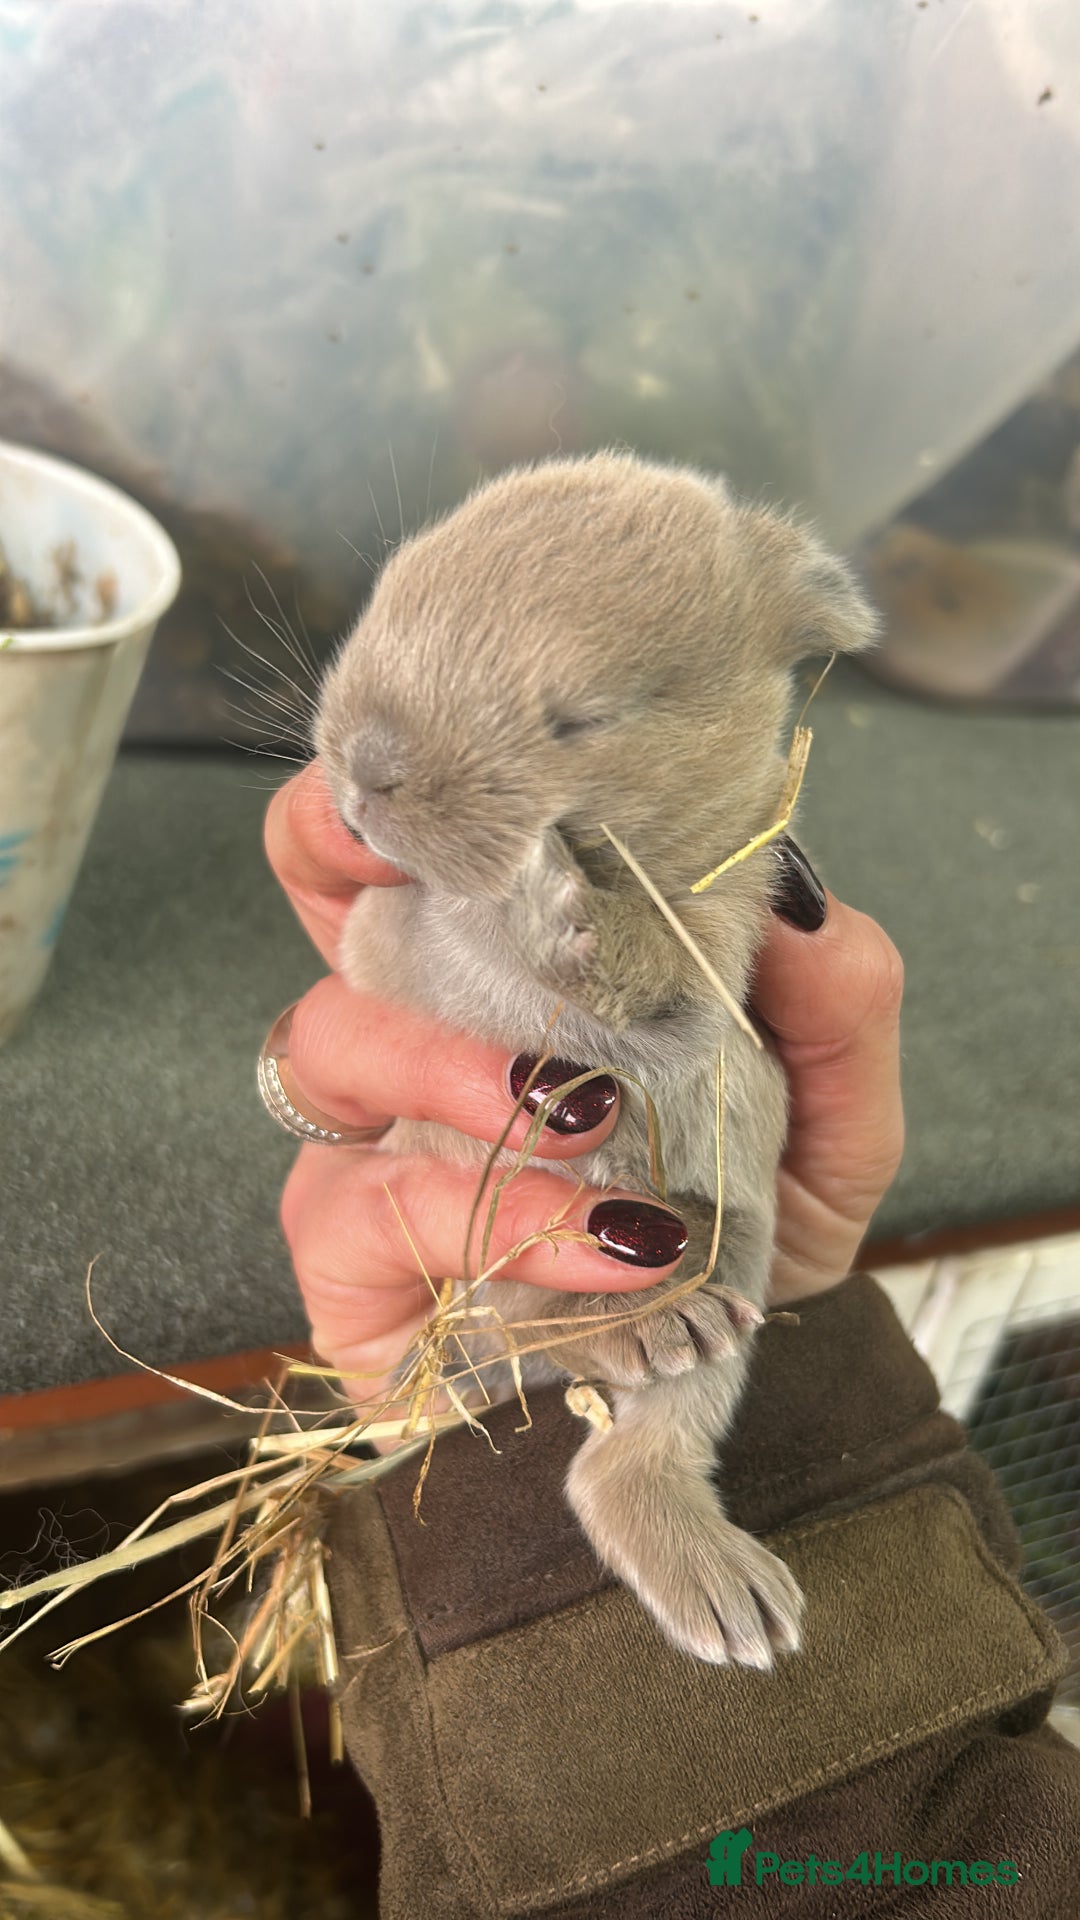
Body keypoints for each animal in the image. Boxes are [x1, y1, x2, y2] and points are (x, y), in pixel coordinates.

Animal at [313, 450, 877, 1669]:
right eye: (386, 597)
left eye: (584, 720)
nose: (365, 772)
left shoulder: (709, 955)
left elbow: (647, 969)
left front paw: (552, 900)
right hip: (494, 1265)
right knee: (521, 1307)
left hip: (740, 1257)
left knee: (624, 1449)